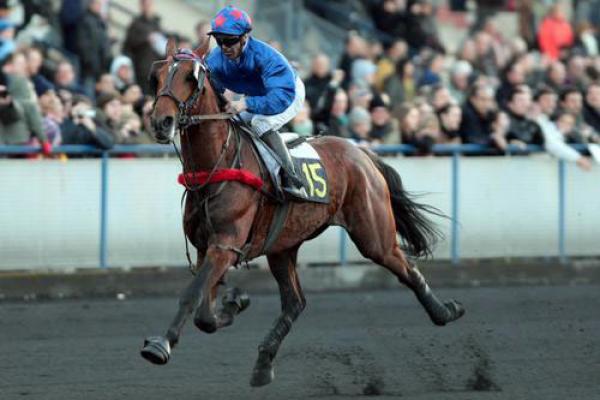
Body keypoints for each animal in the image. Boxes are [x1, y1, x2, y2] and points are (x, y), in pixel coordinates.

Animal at [141, 38, 464, 388]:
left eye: (192, 76)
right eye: (157, 75)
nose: (161, 122)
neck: (216, 166)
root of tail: (361, 151)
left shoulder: (225, 245)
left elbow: (192, 296)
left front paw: (160, 345)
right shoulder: (207, 247)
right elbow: (205, 312)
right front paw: (235, 300)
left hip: (373, 235)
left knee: (406, 267)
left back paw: (445, 312)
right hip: (283, 245)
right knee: (295, 302)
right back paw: (263, 363)